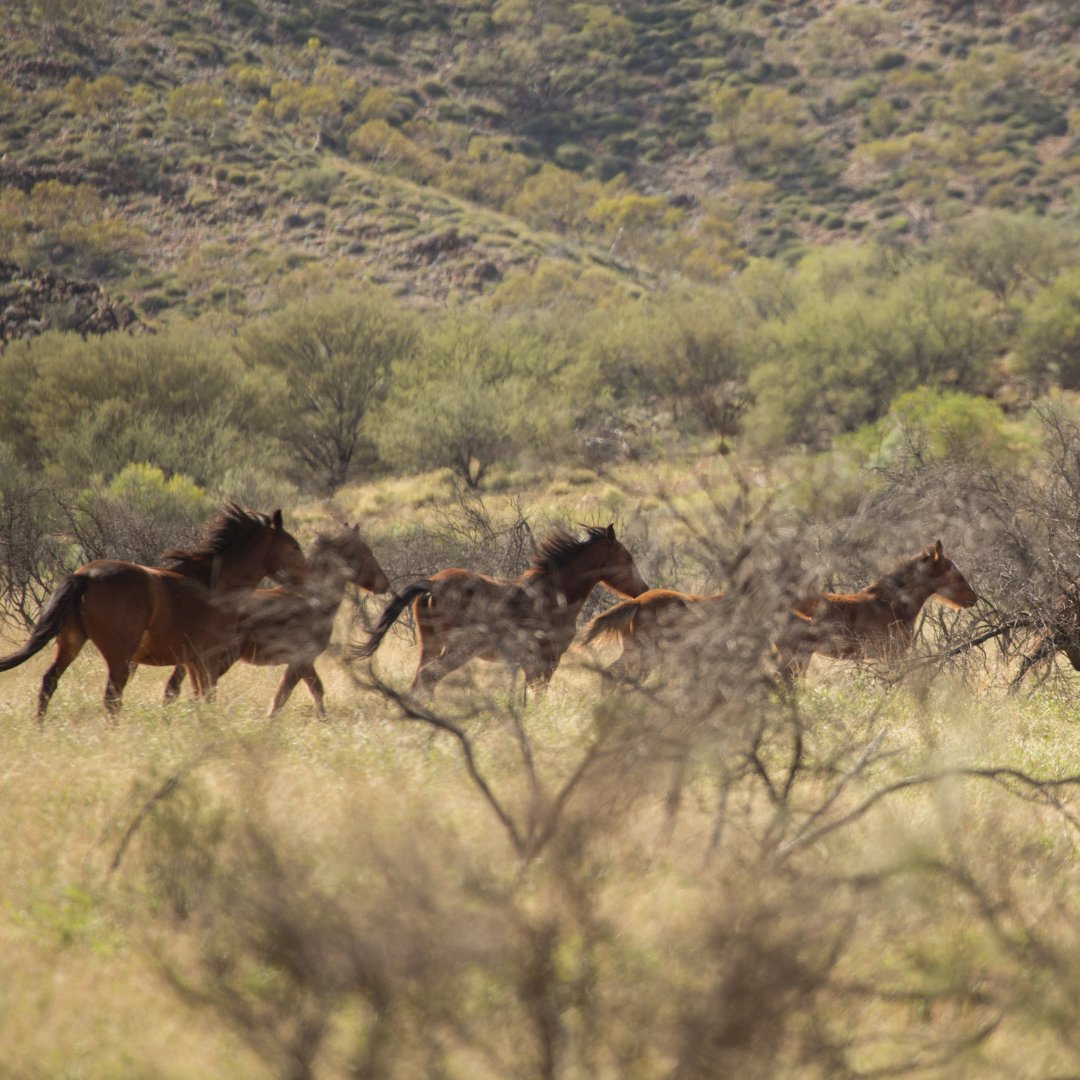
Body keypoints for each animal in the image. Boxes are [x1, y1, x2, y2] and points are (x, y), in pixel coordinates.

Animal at [0, 503, 305, 718]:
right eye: (294, 546)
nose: (306, 579)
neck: (215, 583)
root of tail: (82, 576)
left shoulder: (192, 661)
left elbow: (191, 695)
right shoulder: (207, 657)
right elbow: (206, 696)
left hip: (70, 641)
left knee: (49, 682)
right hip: (119, 655)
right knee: (111, 698)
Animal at [162, 524, 390, 716]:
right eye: (366, 552)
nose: (385, 584)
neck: (314, 600)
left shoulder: (303, 662)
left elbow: (306, 691)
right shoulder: (301, 660)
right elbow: (291, 694)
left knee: (176, 687)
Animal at [352, 523, 648, 696]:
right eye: (627, 557)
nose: (644, 589)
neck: (553, 596)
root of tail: (432, 583)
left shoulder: (532, 664)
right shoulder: (546, 660)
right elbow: (538, 695)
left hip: (430, 644)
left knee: (420, 681)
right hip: (459, 649)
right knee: (428, 677)